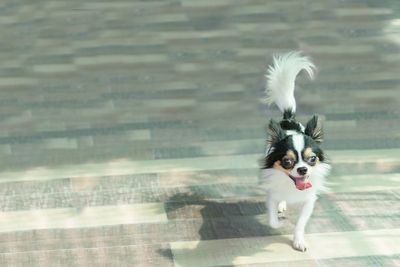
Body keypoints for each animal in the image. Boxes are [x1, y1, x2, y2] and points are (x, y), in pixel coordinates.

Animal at [260, 51, 330, 252]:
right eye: (287, 162)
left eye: (312, 159)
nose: (302, 169)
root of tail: (289, 119)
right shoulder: (271, 195)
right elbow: (273, 220)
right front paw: (282, 221)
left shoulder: (308, 201)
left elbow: (300, 224)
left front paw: (299, 241)